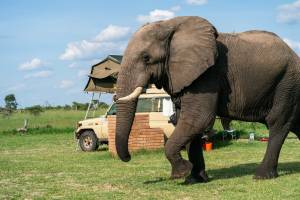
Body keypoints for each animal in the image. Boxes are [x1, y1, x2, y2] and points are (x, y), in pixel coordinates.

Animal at [114, 16, 300, 184]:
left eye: (146, 58)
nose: (128, 157)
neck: (170, 25)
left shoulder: (207, 76)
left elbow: (198, 119)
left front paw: (181, 173)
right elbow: (184, 120)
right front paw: (194, 179)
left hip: (287, 83)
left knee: (277, 122)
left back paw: (261, 176)